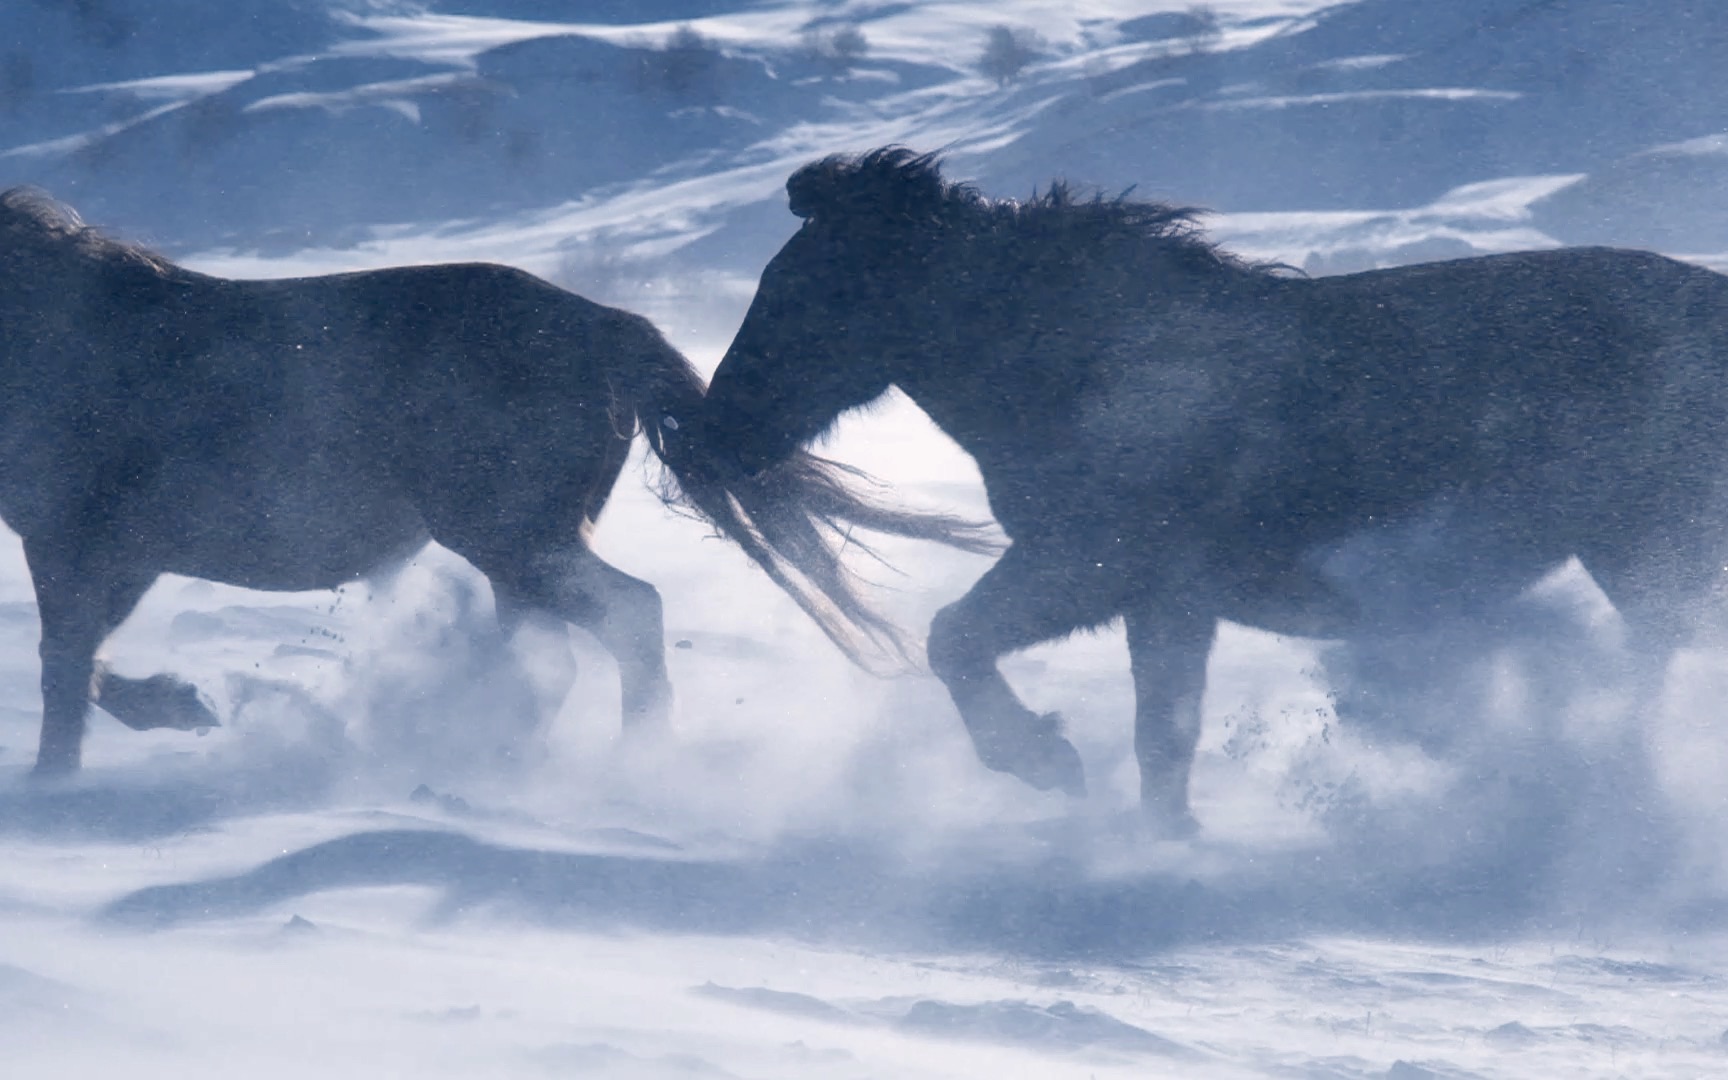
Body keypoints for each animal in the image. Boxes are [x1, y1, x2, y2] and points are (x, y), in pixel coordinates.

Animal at [698, 145, 1728, 832]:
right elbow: (1164, 735)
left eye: (806, 293)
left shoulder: (1092, 569)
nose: (715, 430)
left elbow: (957, 640)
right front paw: (1164, 839)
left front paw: (1045, 760)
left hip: (1648, 559)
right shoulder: (1165, 601)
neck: (1077, 370)